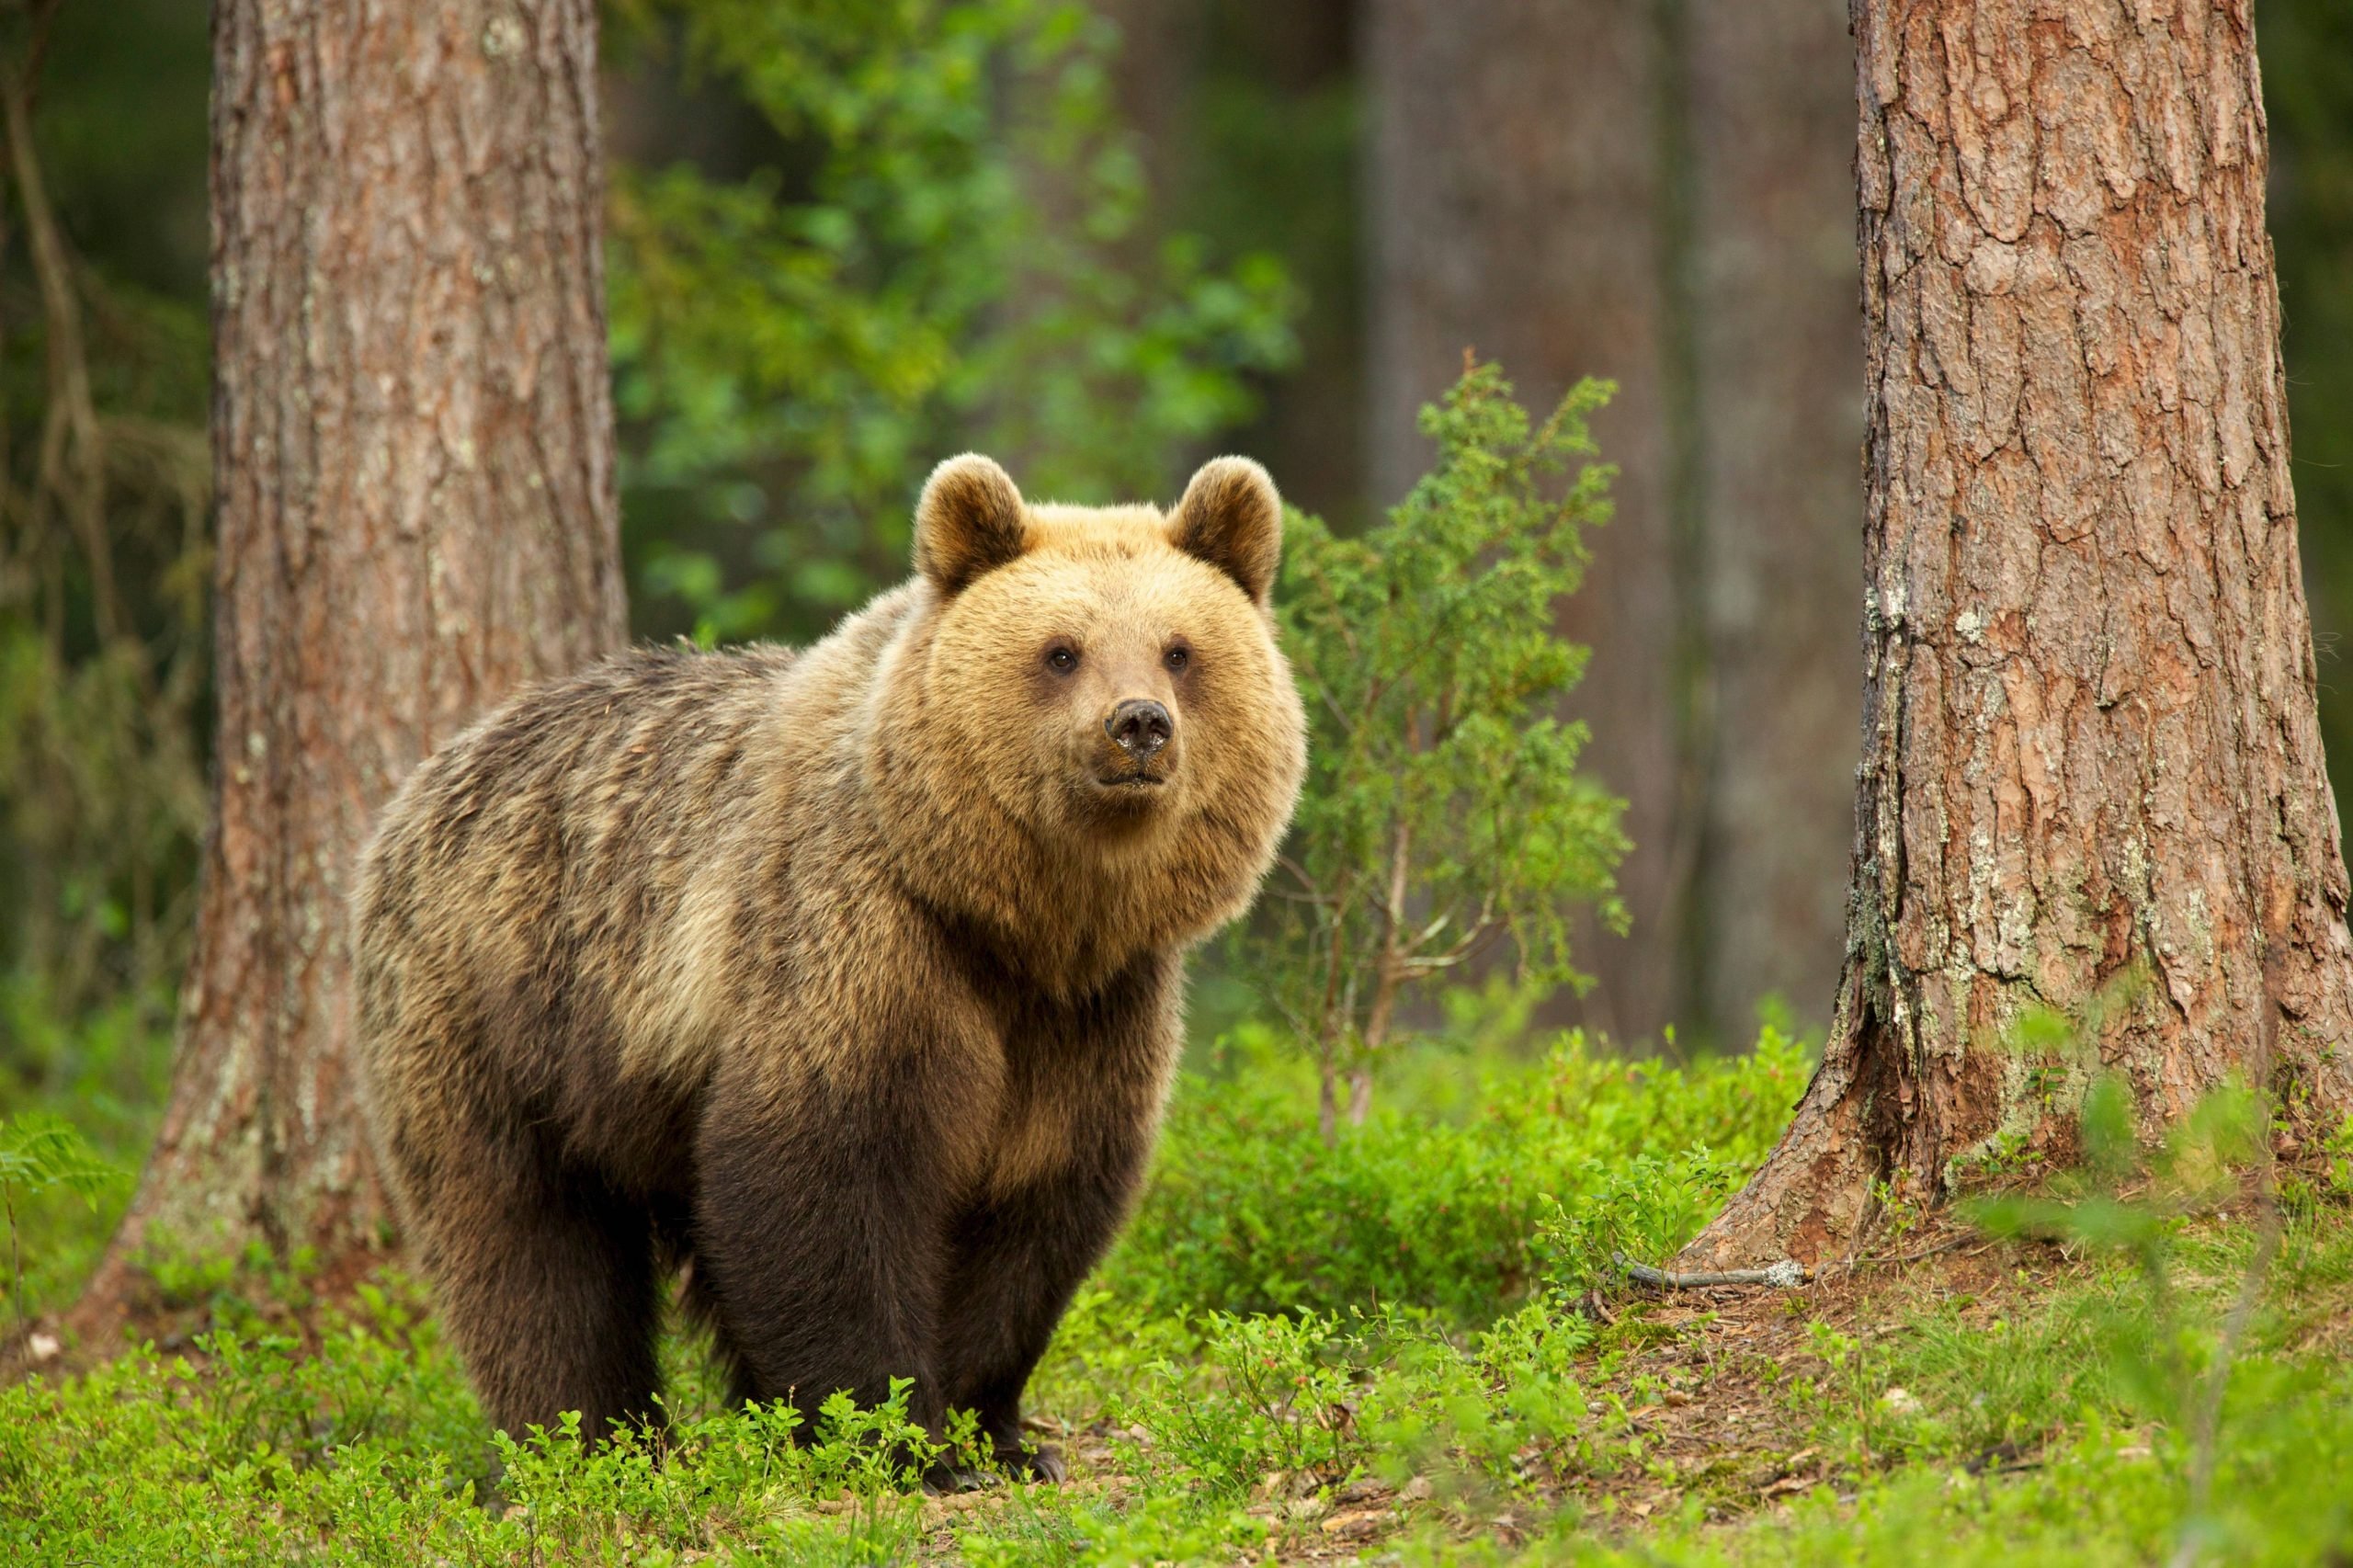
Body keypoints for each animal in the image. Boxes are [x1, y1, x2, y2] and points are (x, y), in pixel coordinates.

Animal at [347, 445, 1308, 1469]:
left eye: (1179, 648)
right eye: (1061, 650)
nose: (1138, 724)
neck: (1019, 919)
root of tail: (436, 769)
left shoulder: (1094, 1012)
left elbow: (1034, 1206)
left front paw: (998, 1434)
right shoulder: (855, 943)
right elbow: (822, 1174)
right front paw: (897, 1434)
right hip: (496, 1016)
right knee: (526, 1247)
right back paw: (586, 1440)